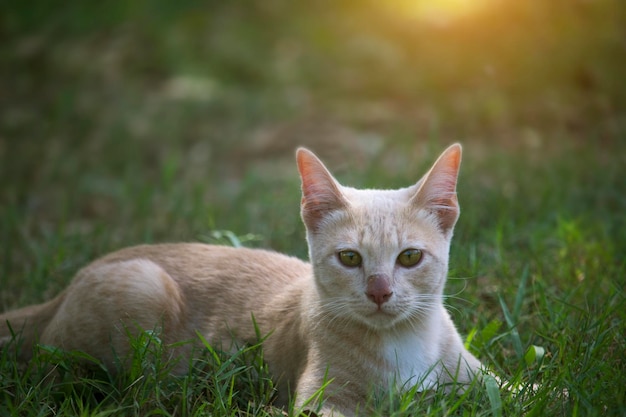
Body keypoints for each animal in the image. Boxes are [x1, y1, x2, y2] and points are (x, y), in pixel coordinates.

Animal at [0, 143, 480, 412]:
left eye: (410, 257)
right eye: (349, 258)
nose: (380, 292)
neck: (404, 343)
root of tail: (68, 285)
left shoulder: (476, 377)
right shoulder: (321, 400)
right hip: (142, 288)